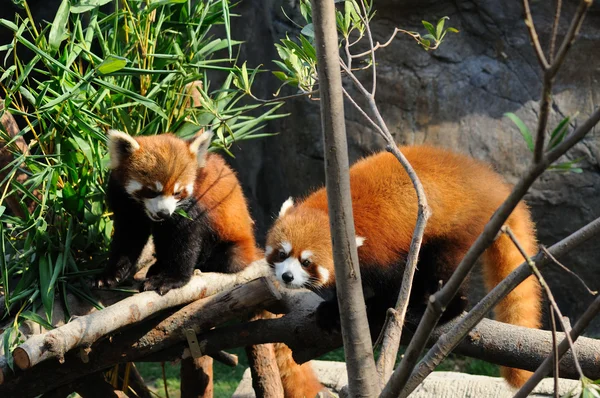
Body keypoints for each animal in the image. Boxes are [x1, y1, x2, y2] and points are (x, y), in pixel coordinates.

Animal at [96, 130, 326, 394]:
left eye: (178, 192)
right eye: (151, 191)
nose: (163, 213)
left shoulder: (193, 204)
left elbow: (186, 239)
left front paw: (171, 279)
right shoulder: (125, 202)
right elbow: (128, 236)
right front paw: (111, 274)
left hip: (231, 247)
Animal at [264, 144, 540, 388]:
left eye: (307, 262)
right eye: (282, 253)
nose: (287, 277)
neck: (332, 212)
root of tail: (490, 185)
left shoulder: (382, 250)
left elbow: (393, 286)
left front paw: (375, 310)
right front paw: (332, 309)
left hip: (452, 230)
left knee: (443, 272)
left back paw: (438, 309)